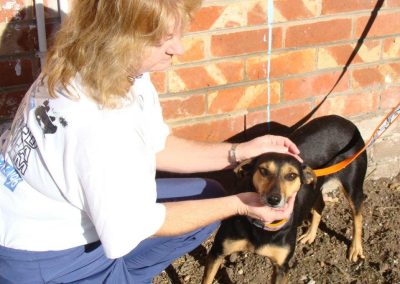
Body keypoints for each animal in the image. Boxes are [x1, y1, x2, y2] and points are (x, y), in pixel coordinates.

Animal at [202, 114, 368, 282]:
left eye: (292, 176)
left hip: (353, 187)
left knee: (358, 215)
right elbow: (207, 279)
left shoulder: (282, 267)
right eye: (263, 170)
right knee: (320, 205)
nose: (274, 199)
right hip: (315, 187)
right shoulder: (217, 252)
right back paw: (310, 234)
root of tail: (344, 121)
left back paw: (356, 248)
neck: (262, 228)